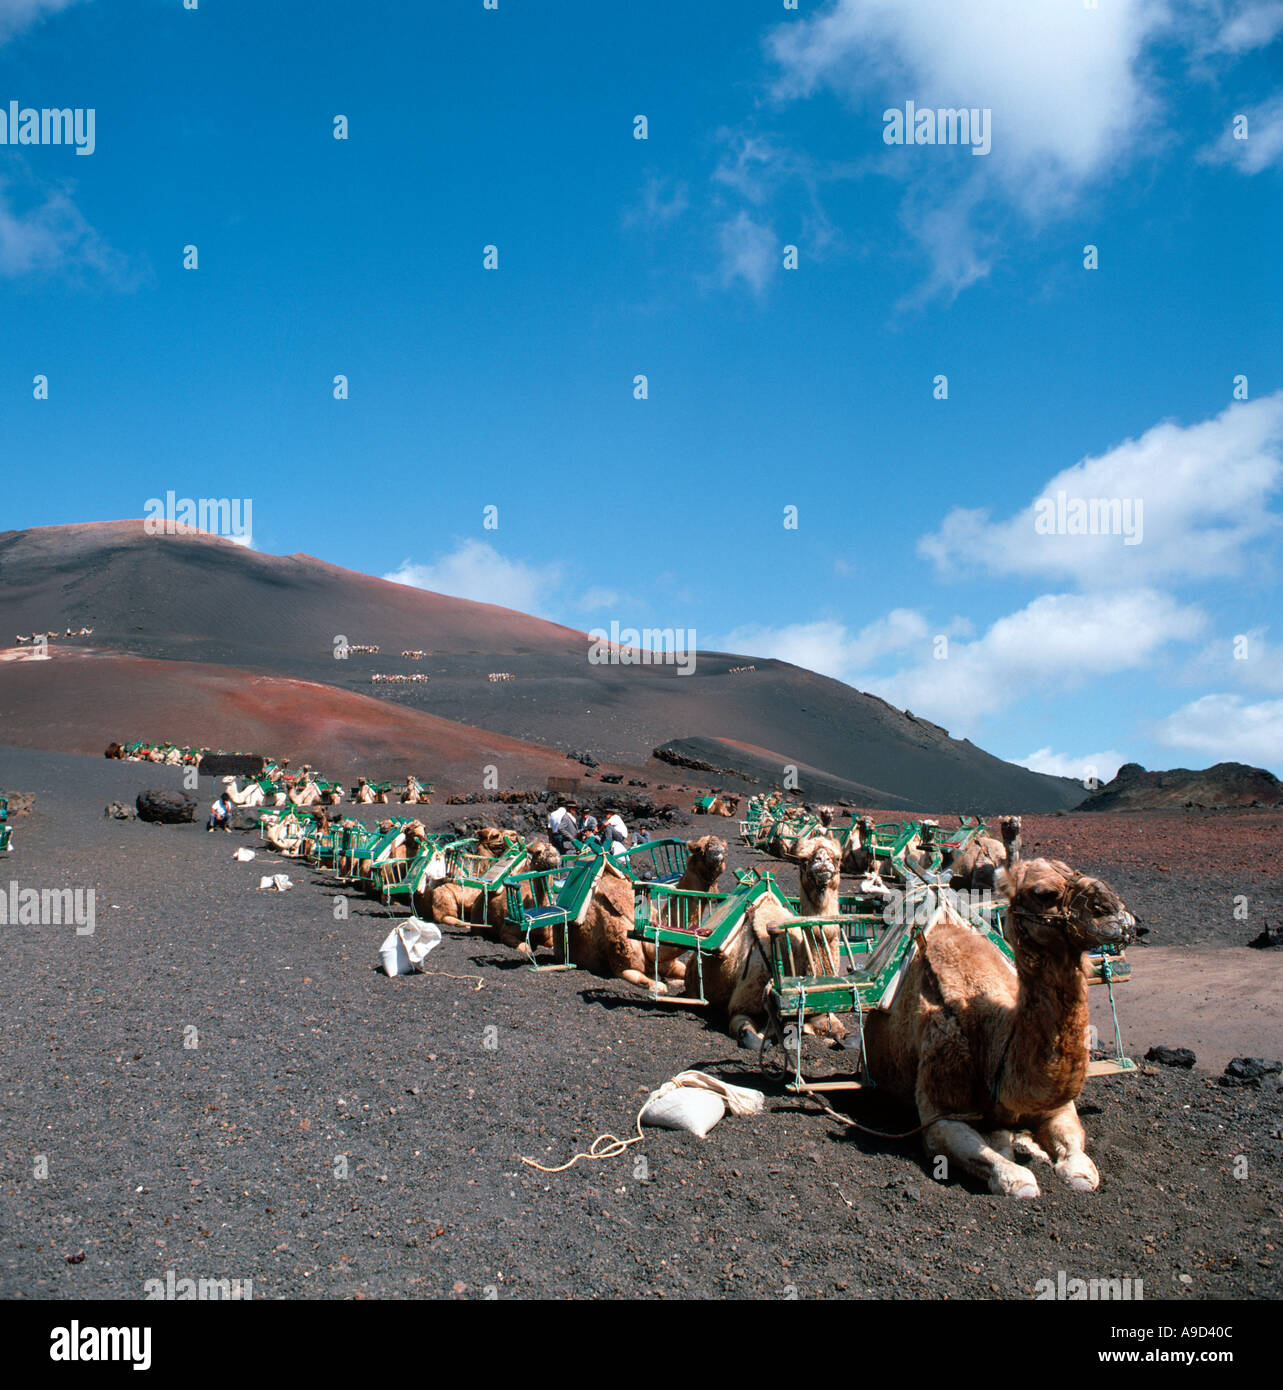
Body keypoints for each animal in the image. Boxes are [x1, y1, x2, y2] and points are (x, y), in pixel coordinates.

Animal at [861, 856, 1134, 1195]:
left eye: (1075, 871)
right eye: (1043, 892)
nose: (1118, 915)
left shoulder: (1059, 1108)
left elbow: (1079, 1164)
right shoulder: (941, 1112)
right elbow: (1016, 1178)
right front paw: (1016, 1171)